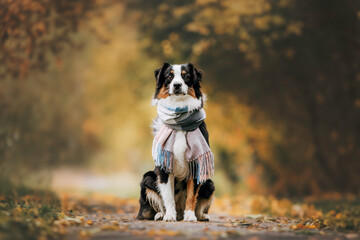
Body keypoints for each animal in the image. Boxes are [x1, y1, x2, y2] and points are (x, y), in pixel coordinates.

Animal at [136, 62, 214, 222]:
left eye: (186, 76)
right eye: (169, 76)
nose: (177, 85)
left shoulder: (196, 163)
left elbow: (191, 195)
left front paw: (190, 216)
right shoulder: (165, 164)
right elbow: (168, 196)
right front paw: (169, 216)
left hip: (209, 183)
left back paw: (200, 215)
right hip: (148, 177)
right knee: (158, 203)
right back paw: (162, 214)